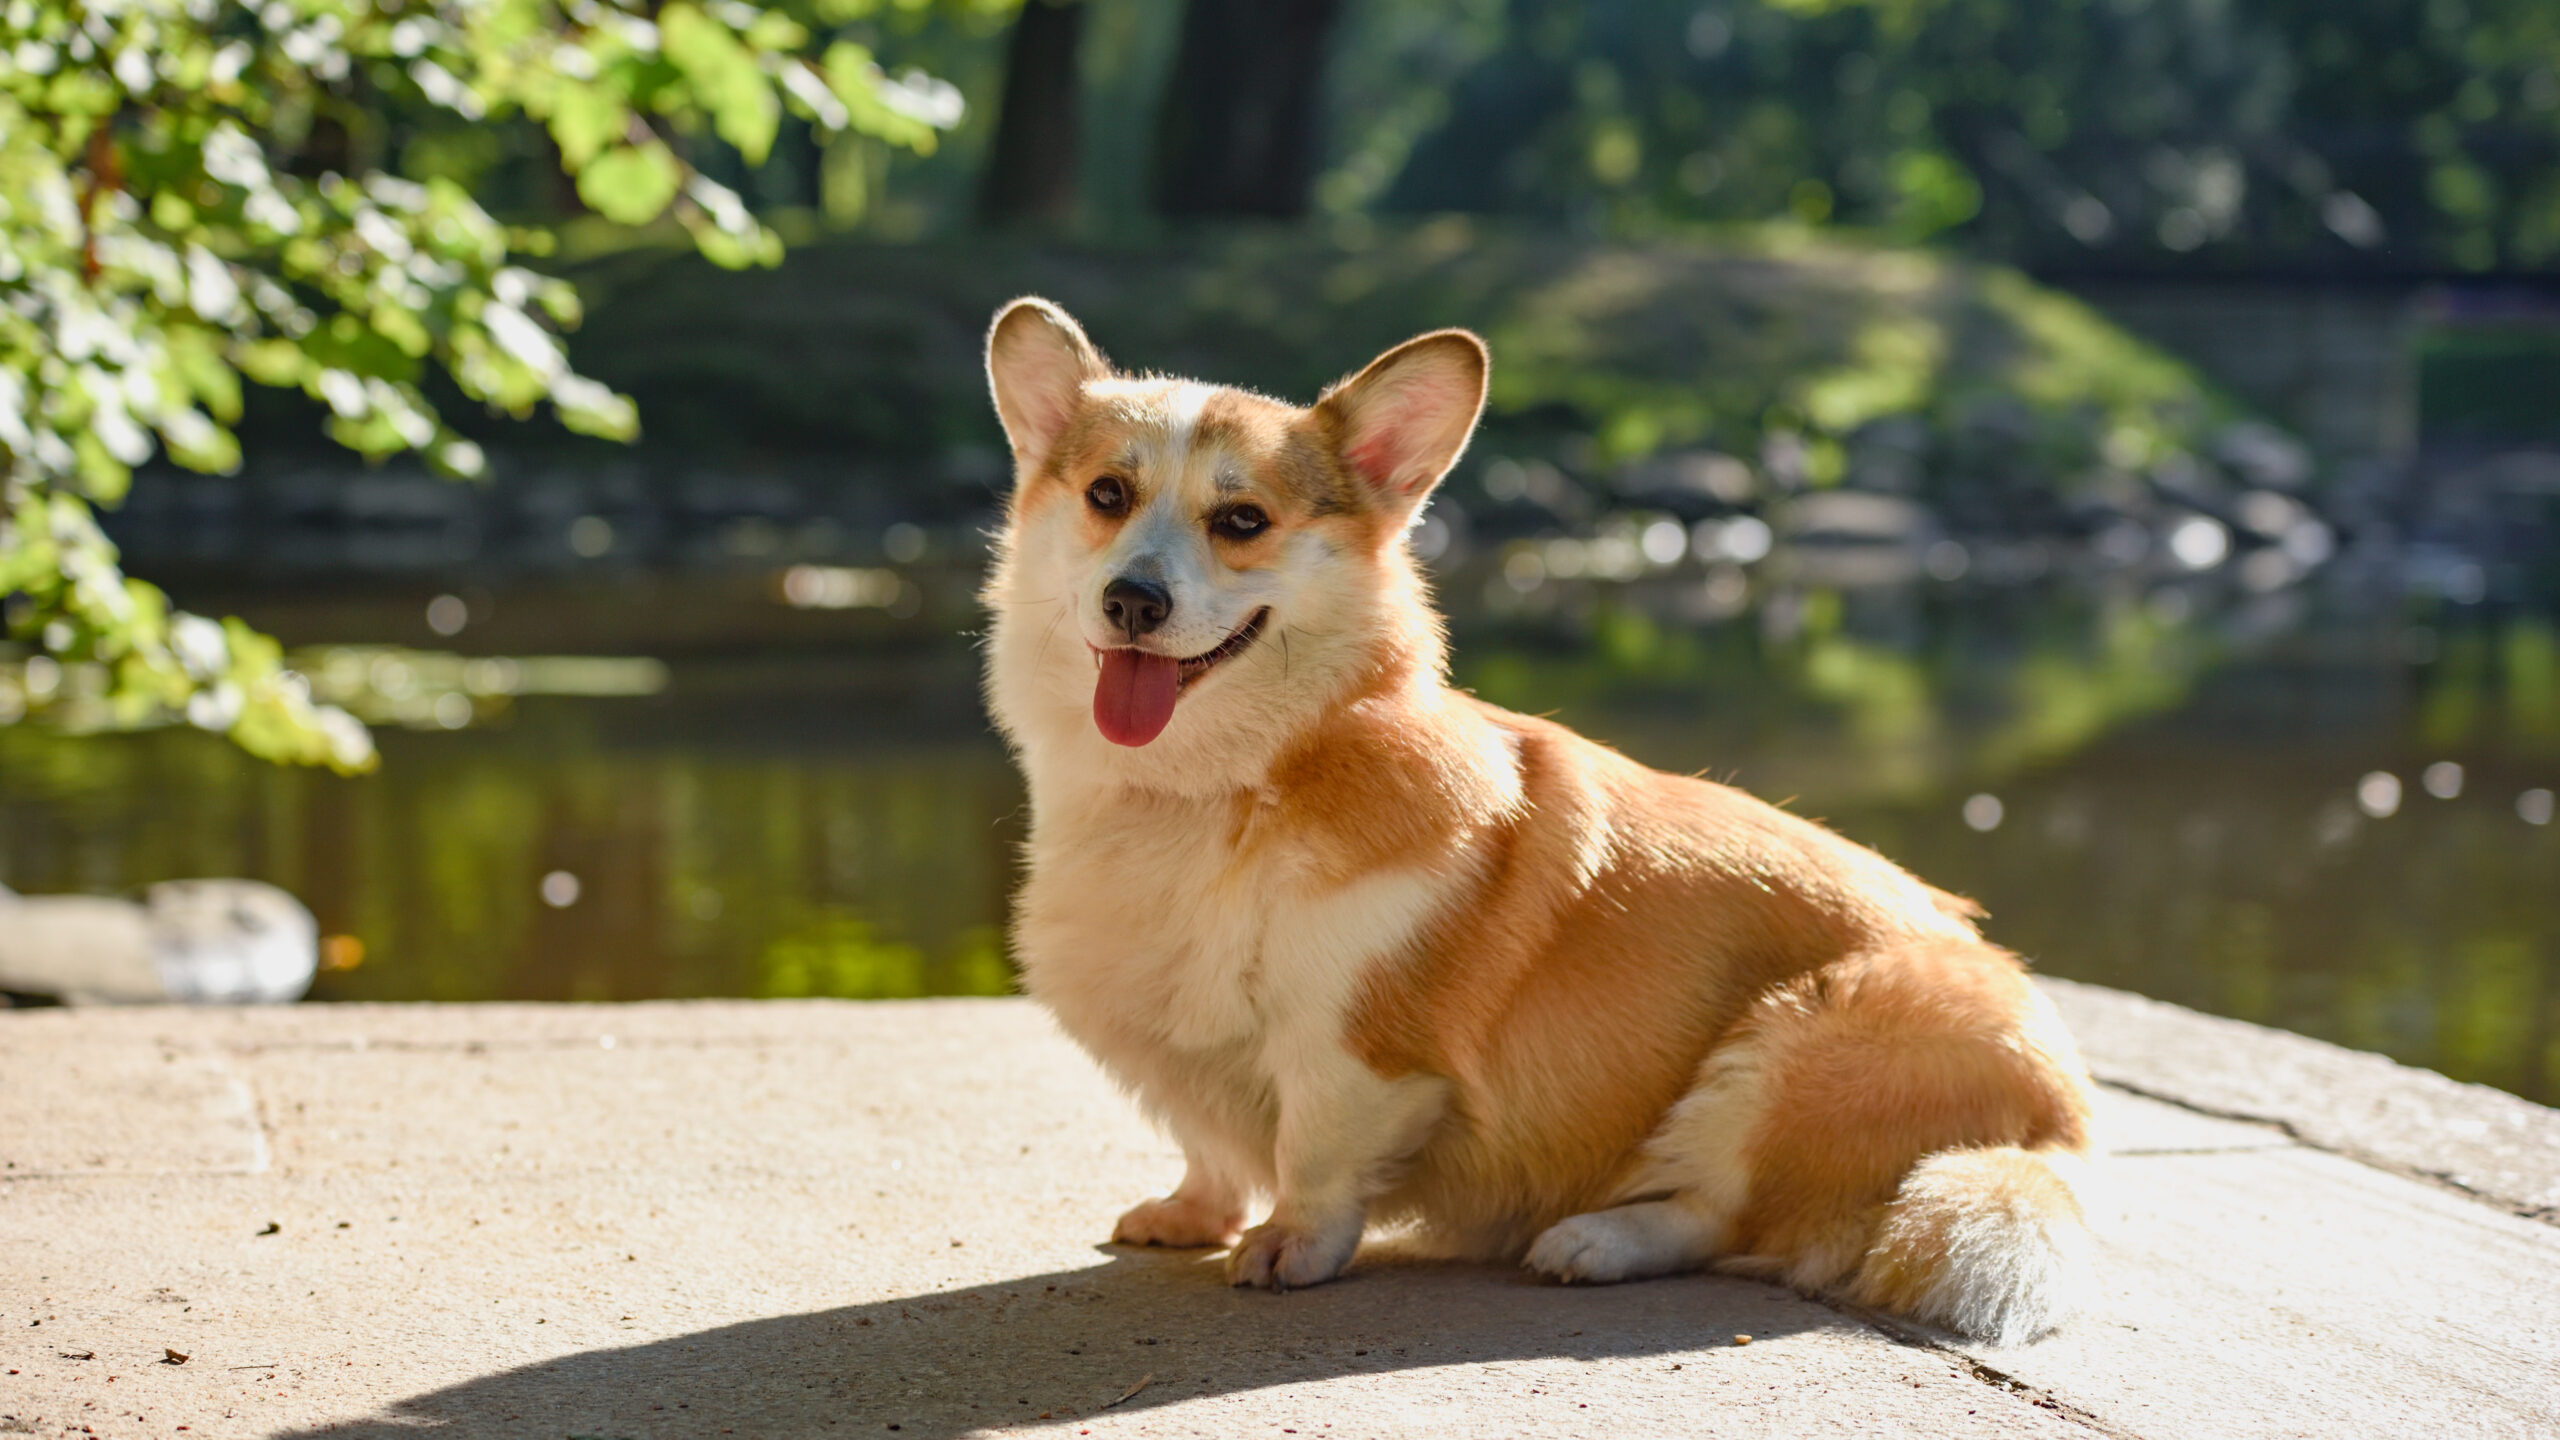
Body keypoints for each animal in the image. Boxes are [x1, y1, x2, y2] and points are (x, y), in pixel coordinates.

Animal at [977, 297, 2099, 1342]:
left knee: (1722, 1214)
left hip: (1797, 1042)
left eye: (1242, 520)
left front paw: (1289, 1244)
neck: (1219, 785)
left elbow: (1314, 1151)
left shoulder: (1357, 1046)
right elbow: (1209, 1143)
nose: (1133, 600)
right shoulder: (1180, 1046)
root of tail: (2061, 1124)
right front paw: (1191, 1213)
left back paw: (1596, 1240)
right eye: (1107, 496)